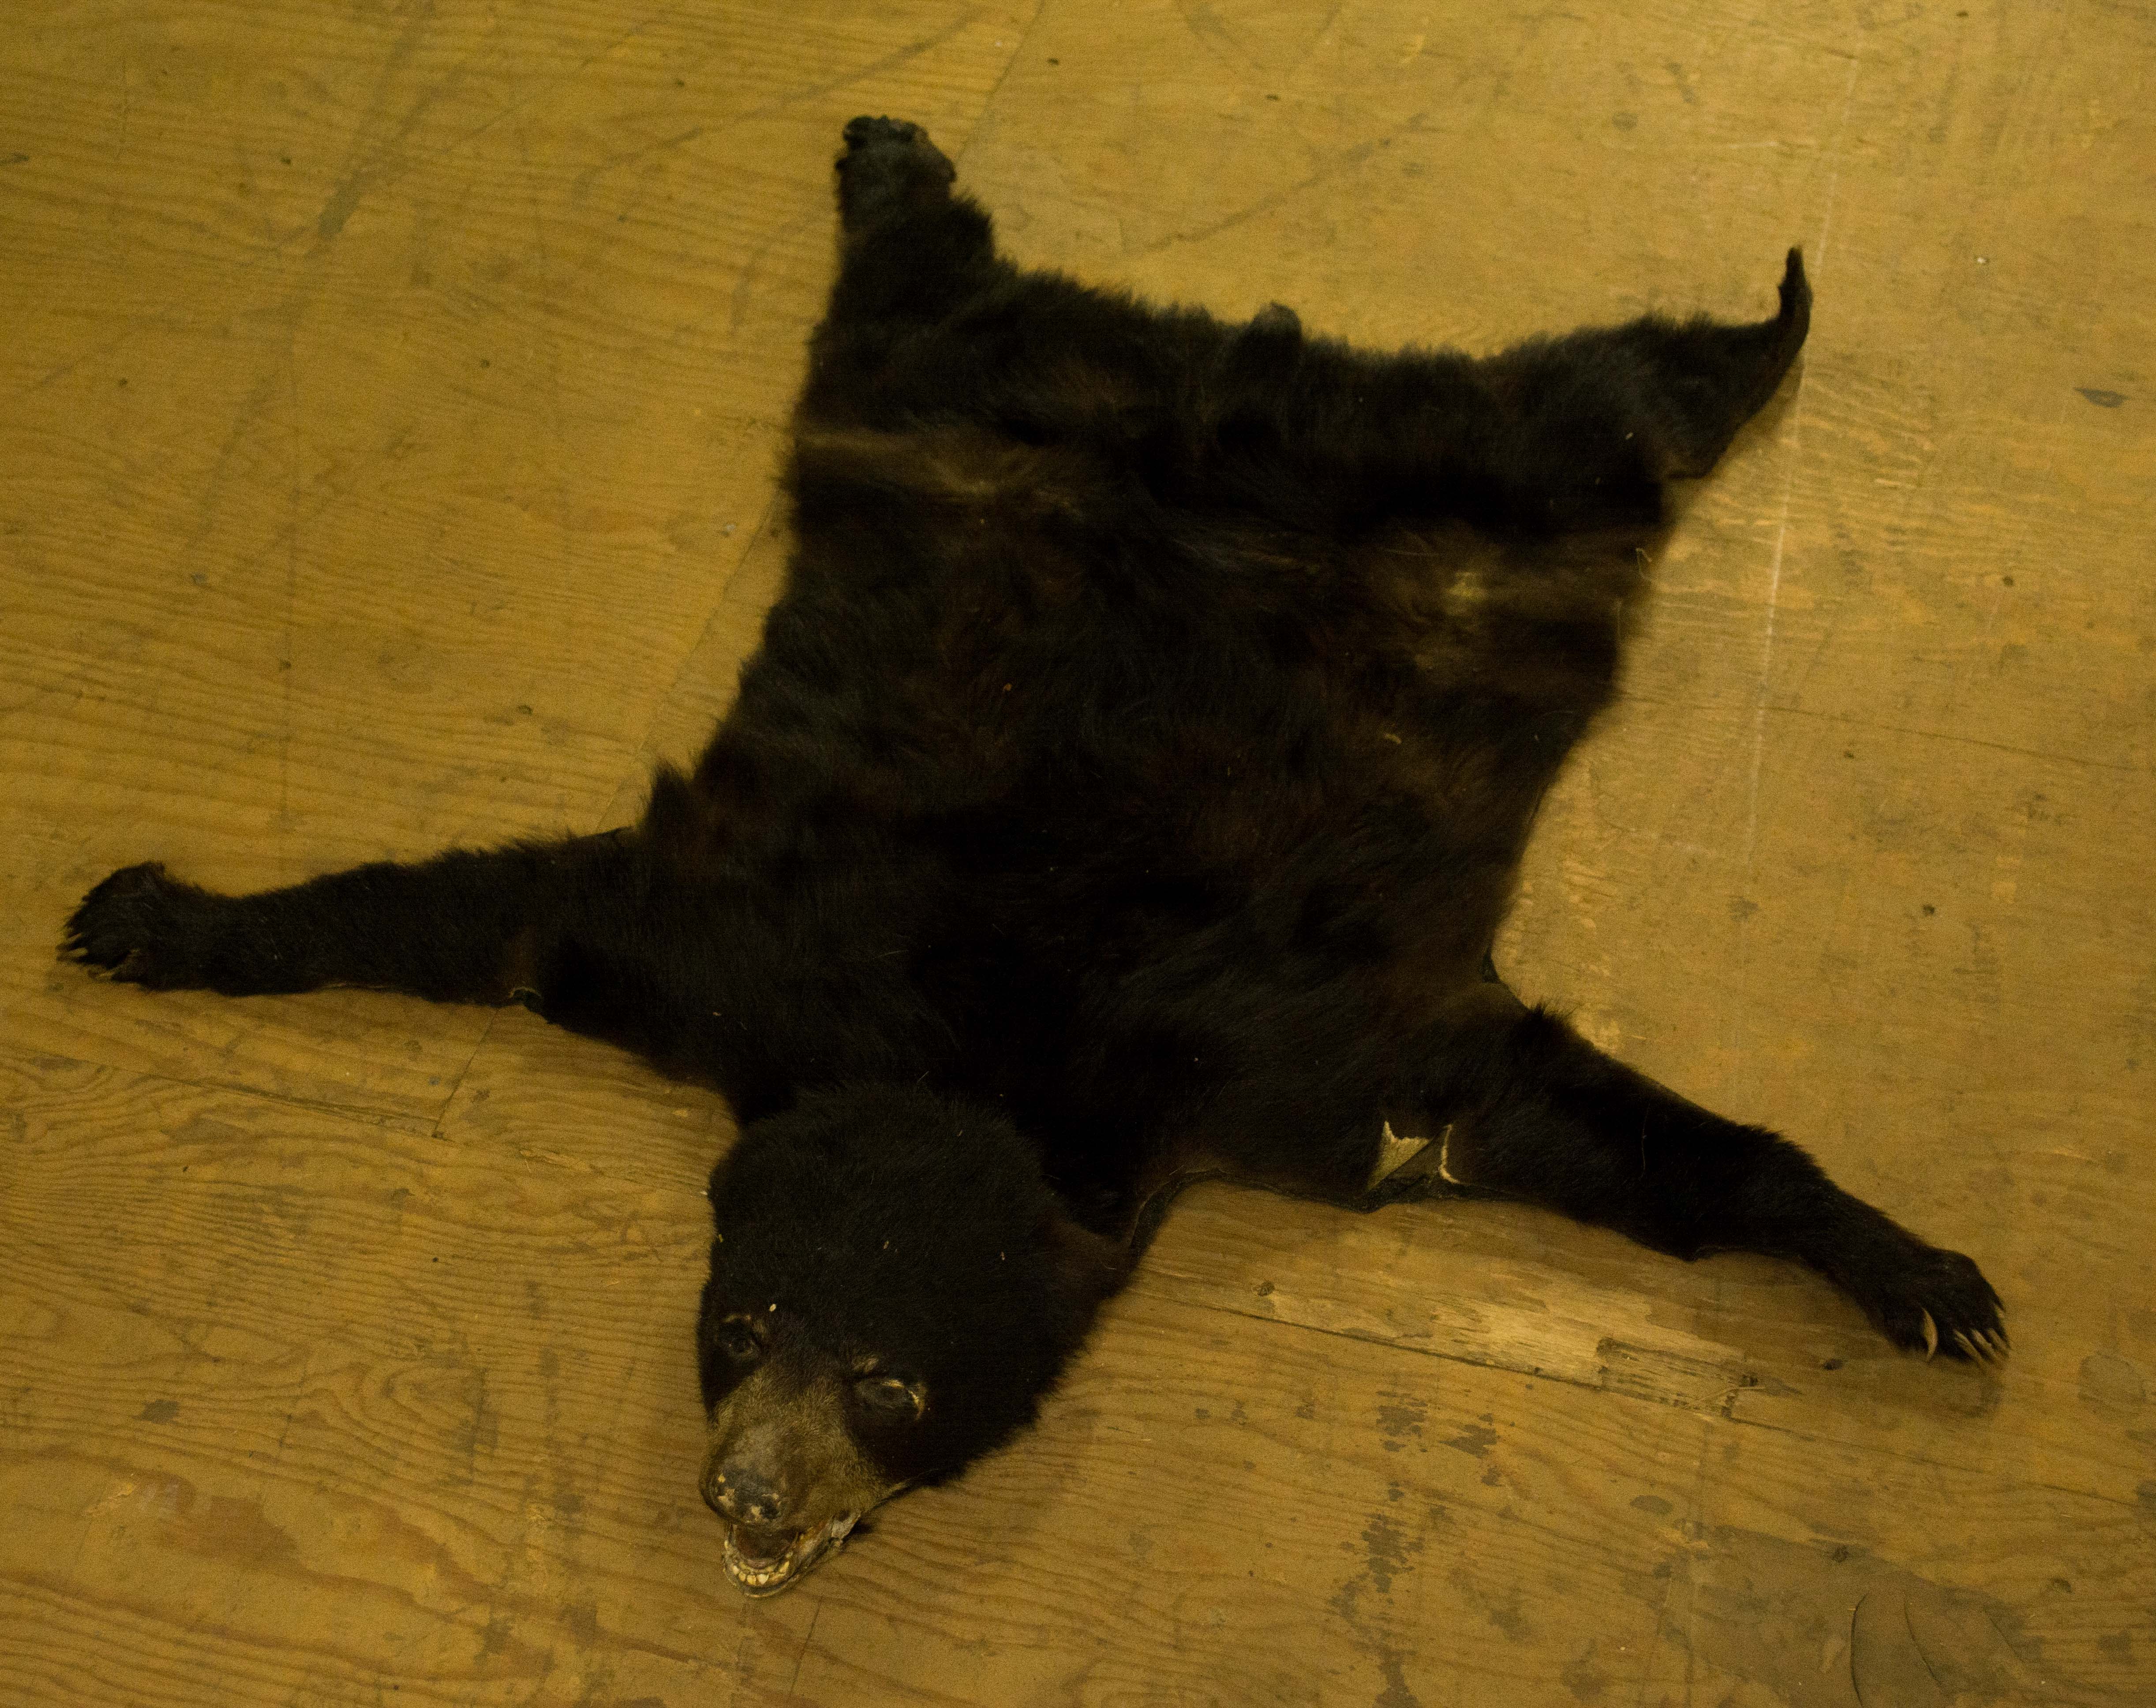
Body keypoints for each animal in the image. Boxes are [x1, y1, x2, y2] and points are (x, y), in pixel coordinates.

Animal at [64, 116, 2005, 1599]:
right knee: (921, 293)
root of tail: (1203, 366)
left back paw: (1768, 321)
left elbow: (1585, 1127)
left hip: (1491, 481)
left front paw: (1908, 1272)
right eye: (738, 1317)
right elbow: (487, 912)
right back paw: (888, 162)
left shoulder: (1312, 1066)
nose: (742, 1490)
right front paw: (165, 914)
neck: (978, 1047)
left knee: (1621, 401)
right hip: (943, 401)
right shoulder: (721, 942)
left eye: (890, 1379)